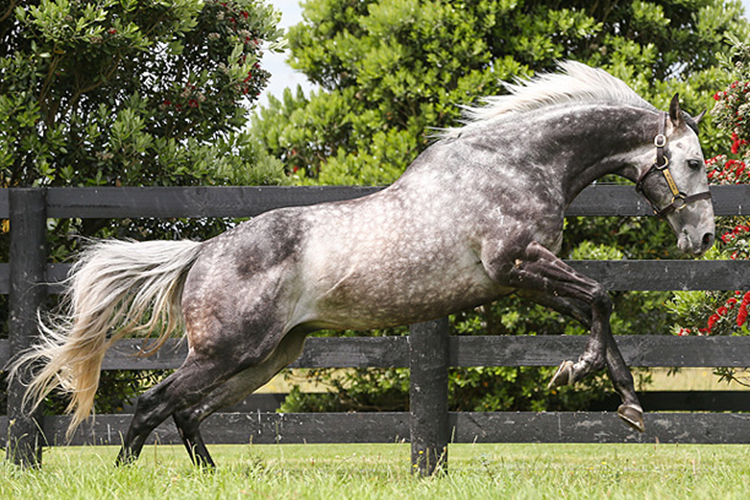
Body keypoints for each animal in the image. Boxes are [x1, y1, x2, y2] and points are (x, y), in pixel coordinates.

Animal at [11, 61, 716, 464]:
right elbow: (600, 296)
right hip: (227, 352)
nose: (705, 238)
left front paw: (618, 397)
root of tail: (203, 251)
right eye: (692, 161)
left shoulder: (519, 276)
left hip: (268, 357)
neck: (517, 164)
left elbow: (596, 307)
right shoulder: (515, 263)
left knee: (184, 413)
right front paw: (585, 378)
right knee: (150, 405)